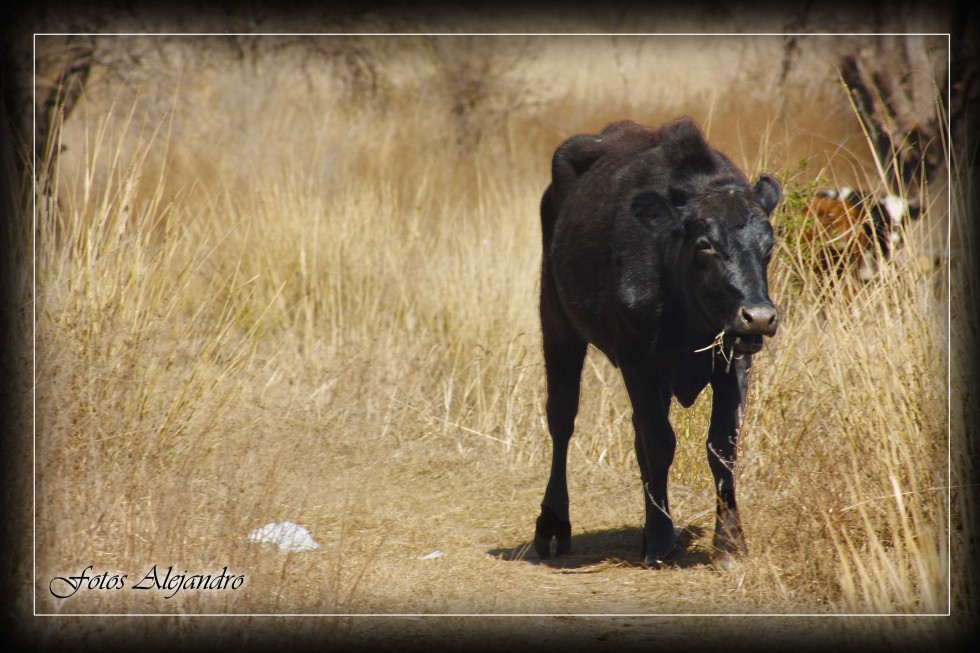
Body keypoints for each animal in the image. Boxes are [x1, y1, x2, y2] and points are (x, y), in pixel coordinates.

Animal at [532, 117, 776, 564]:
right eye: (705, 245)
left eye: (768, 245)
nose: (759, 317)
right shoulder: (637, 360)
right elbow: (661, 442)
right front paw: (662, 539)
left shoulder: (734, 360)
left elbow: (722, 446)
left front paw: (730, 541)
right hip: (556, 321)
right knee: (562, 418)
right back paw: (554, 523)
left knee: (636, 433)